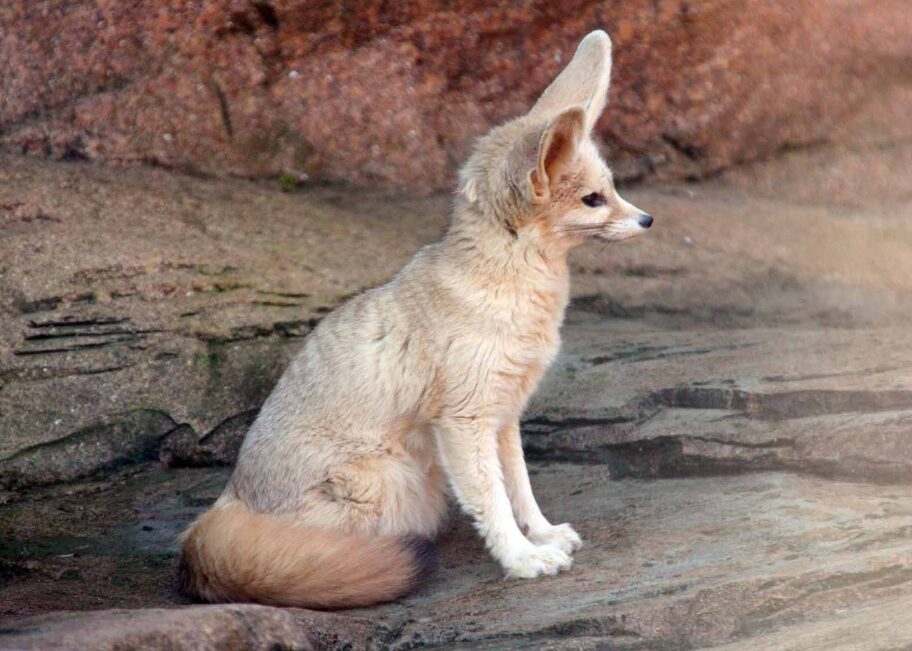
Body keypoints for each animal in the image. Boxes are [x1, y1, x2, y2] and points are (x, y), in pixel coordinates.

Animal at [182, 29, 656, 612]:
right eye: (594, 200)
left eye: (612, 190)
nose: (648, 219)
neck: (506, 287)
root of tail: (221, 506)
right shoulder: (464, 421)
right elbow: (492, 498)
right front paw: (521, 558)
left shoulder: (504, 415)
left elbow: (520, 486)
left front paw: (541, 533)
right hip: (393, 481)